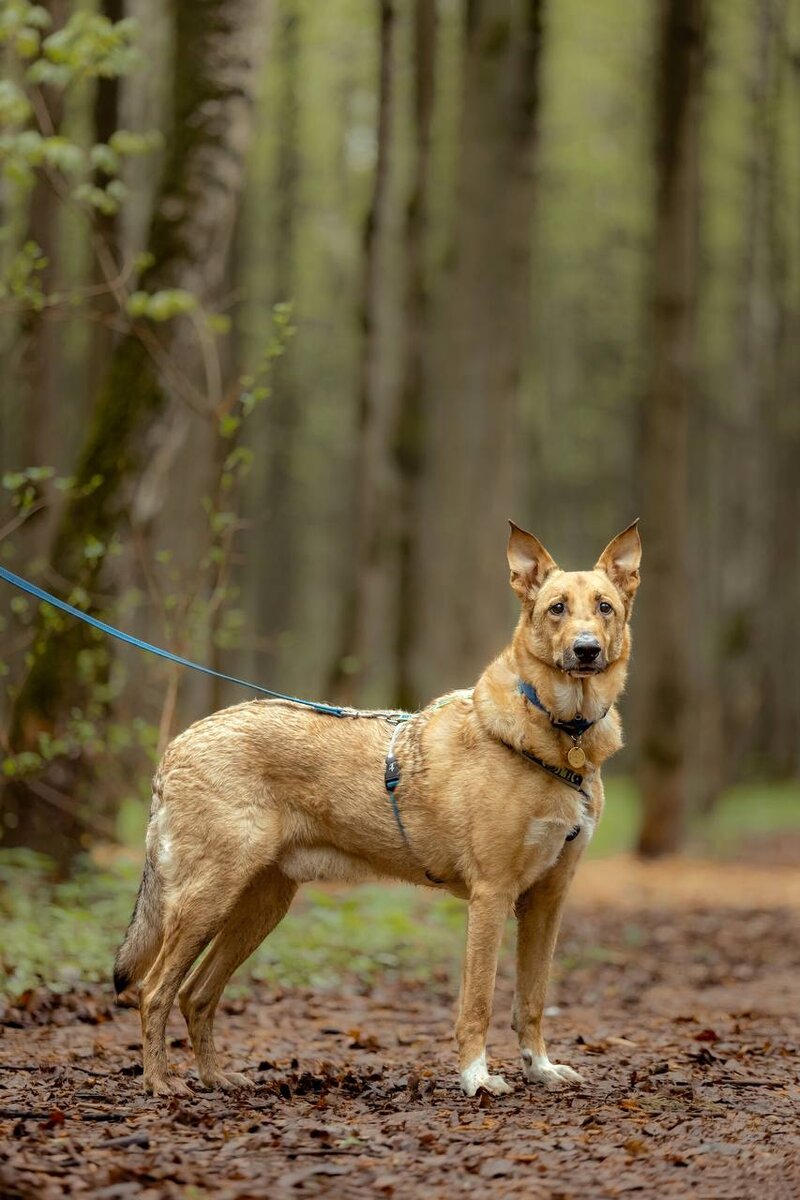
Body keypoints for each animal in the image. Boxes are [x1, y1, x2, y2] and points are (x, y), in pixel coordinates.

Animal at [112, 516, 642, 1099]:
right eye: (556, 609)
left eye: (604, 607)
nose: (587, 650)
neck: (561, 736)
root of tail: (180, 744)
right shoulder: (492, 894)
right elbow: (477, 1003)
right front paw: (477, 1078)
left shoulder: (548, 899)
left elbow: (532, 999)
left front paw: (541, 1069)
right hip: (208, 899)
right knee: (154, 991)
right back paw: (160, 1084)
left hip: (259, 907)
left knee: (197, 994)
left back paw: (215, 1078)